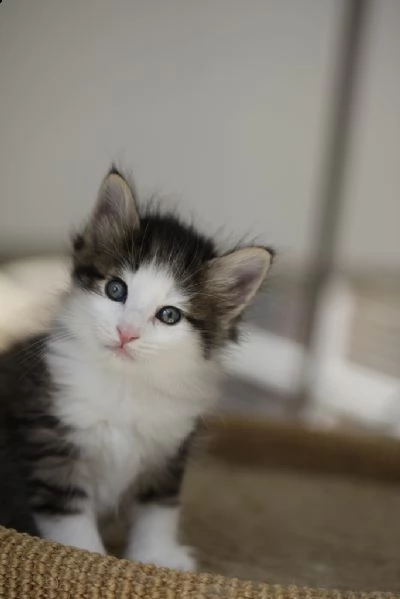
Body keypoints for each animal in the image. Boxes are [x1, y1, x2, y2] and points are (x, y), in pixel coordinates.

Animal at [0, 166, 274, 568]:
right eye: (116, 290)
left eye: (169, 315)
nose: (126, 333)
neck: (125, 385)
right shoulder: (51, 444)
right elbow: (69, 519)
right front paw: (87, 559)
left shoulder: (168, 451)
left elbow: (158, 509)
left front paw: (157, 557)